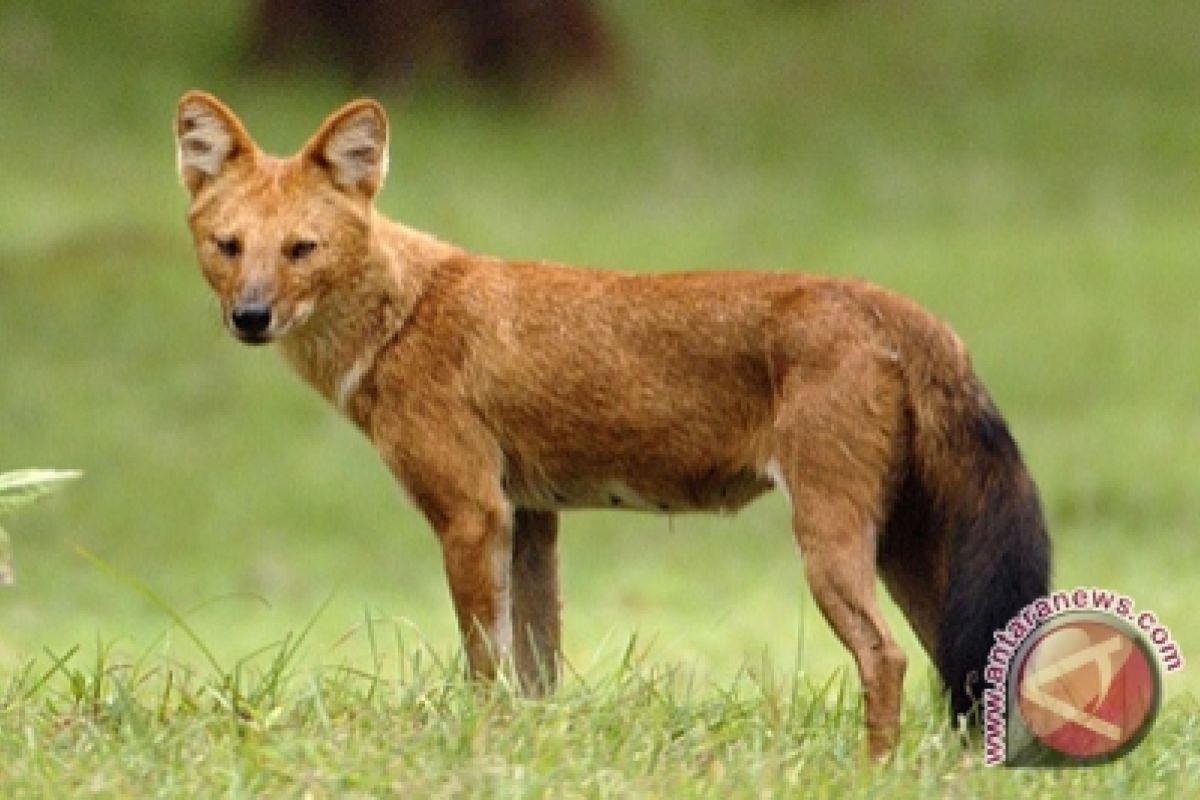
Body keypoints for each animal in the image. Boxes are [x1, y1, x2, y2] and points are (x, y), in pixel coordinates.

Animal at [171, 90, 1051, 762]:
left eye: (301, 249)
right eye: (228, 246)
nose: (250, 317)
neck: (402, 315)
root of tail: (896, 306)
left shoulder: (471, 514)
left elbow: (484, 666)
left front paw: (478, 751)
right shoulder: (529, 517)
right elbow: (537, 673)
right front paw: (526, 754)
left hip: (831, 540)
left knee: (887, 656)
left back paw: (873, 770)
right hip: (909, 551)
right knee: (968, 663)